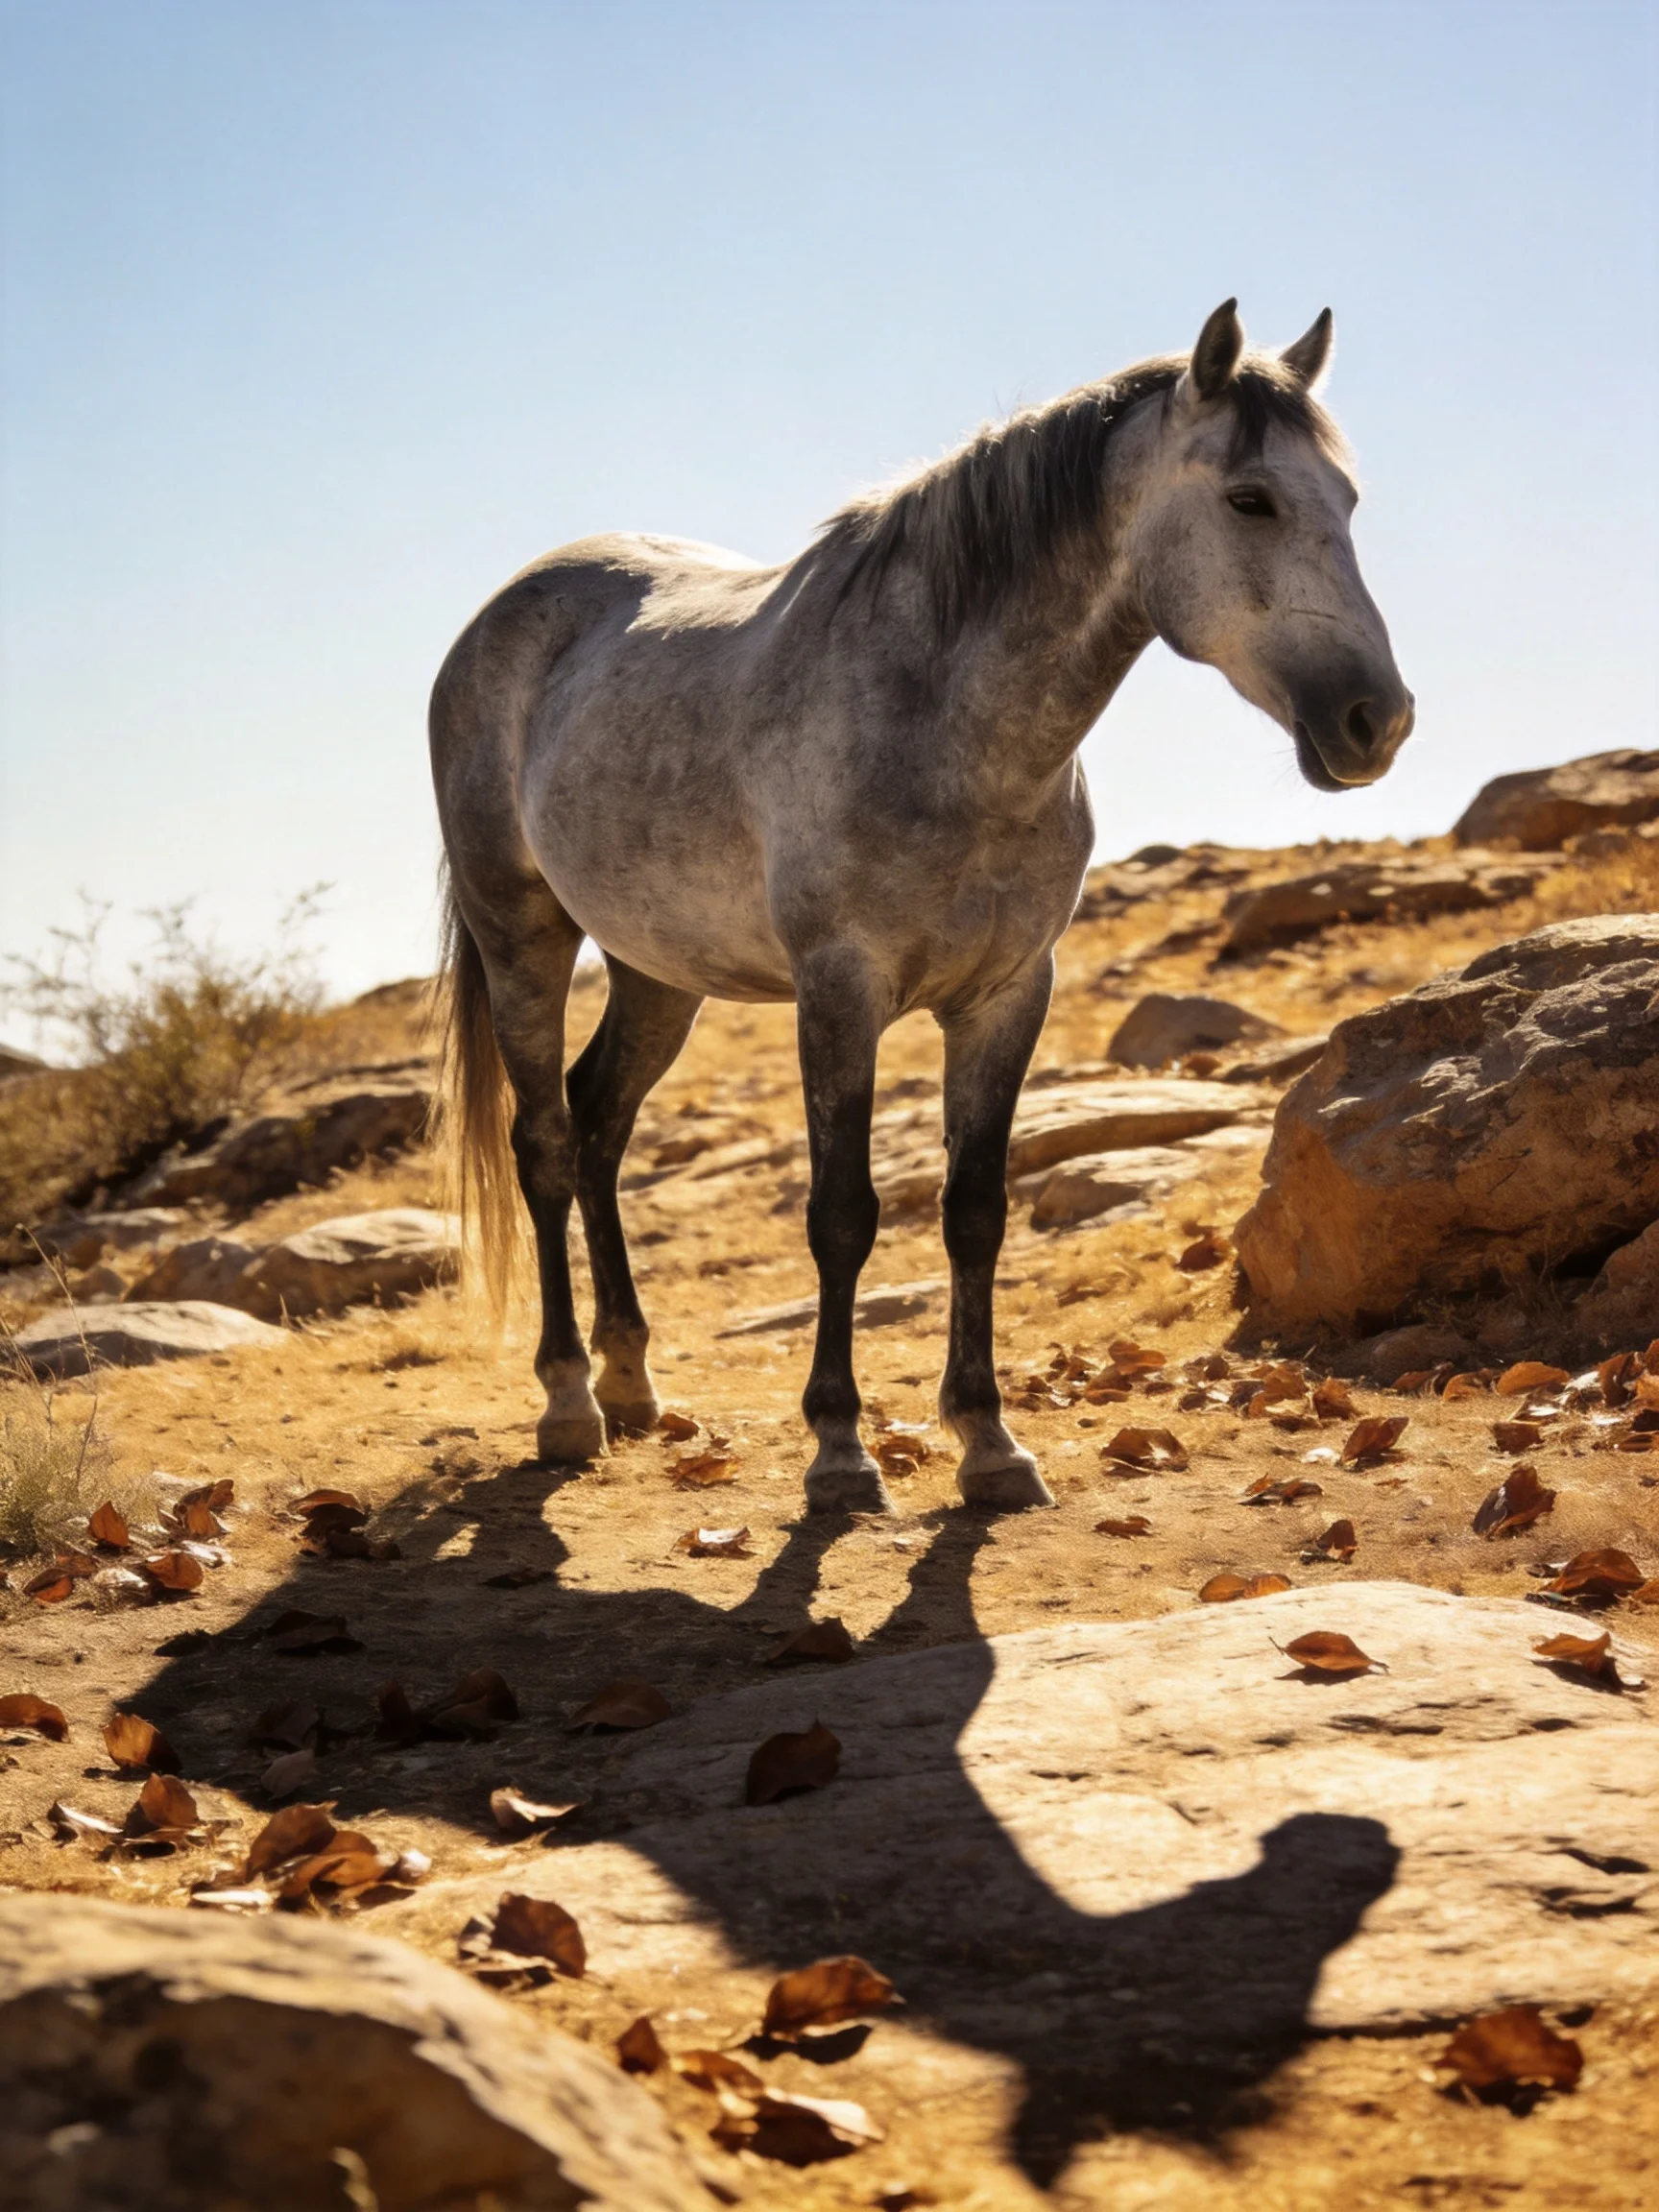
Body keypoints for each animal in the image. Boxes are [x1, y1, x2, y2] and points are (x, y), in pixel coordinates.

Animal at [430, 300, 1413, 1517]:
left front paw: (990, 1443)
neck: (945, 727)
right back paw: (569, 1403)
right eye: (1250, 500)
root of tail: (502, 619)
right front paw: (841, 1453)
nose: (1377, 720)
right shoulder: (838, 994)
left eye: (1350, 501)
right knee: (549, 1144)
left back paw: (631, 1382)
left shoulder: (1006, 996)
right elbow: (843, 1216)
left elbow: (973, 1212)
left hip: (657, 972)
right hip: (522, 935)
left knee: (602, 1123)